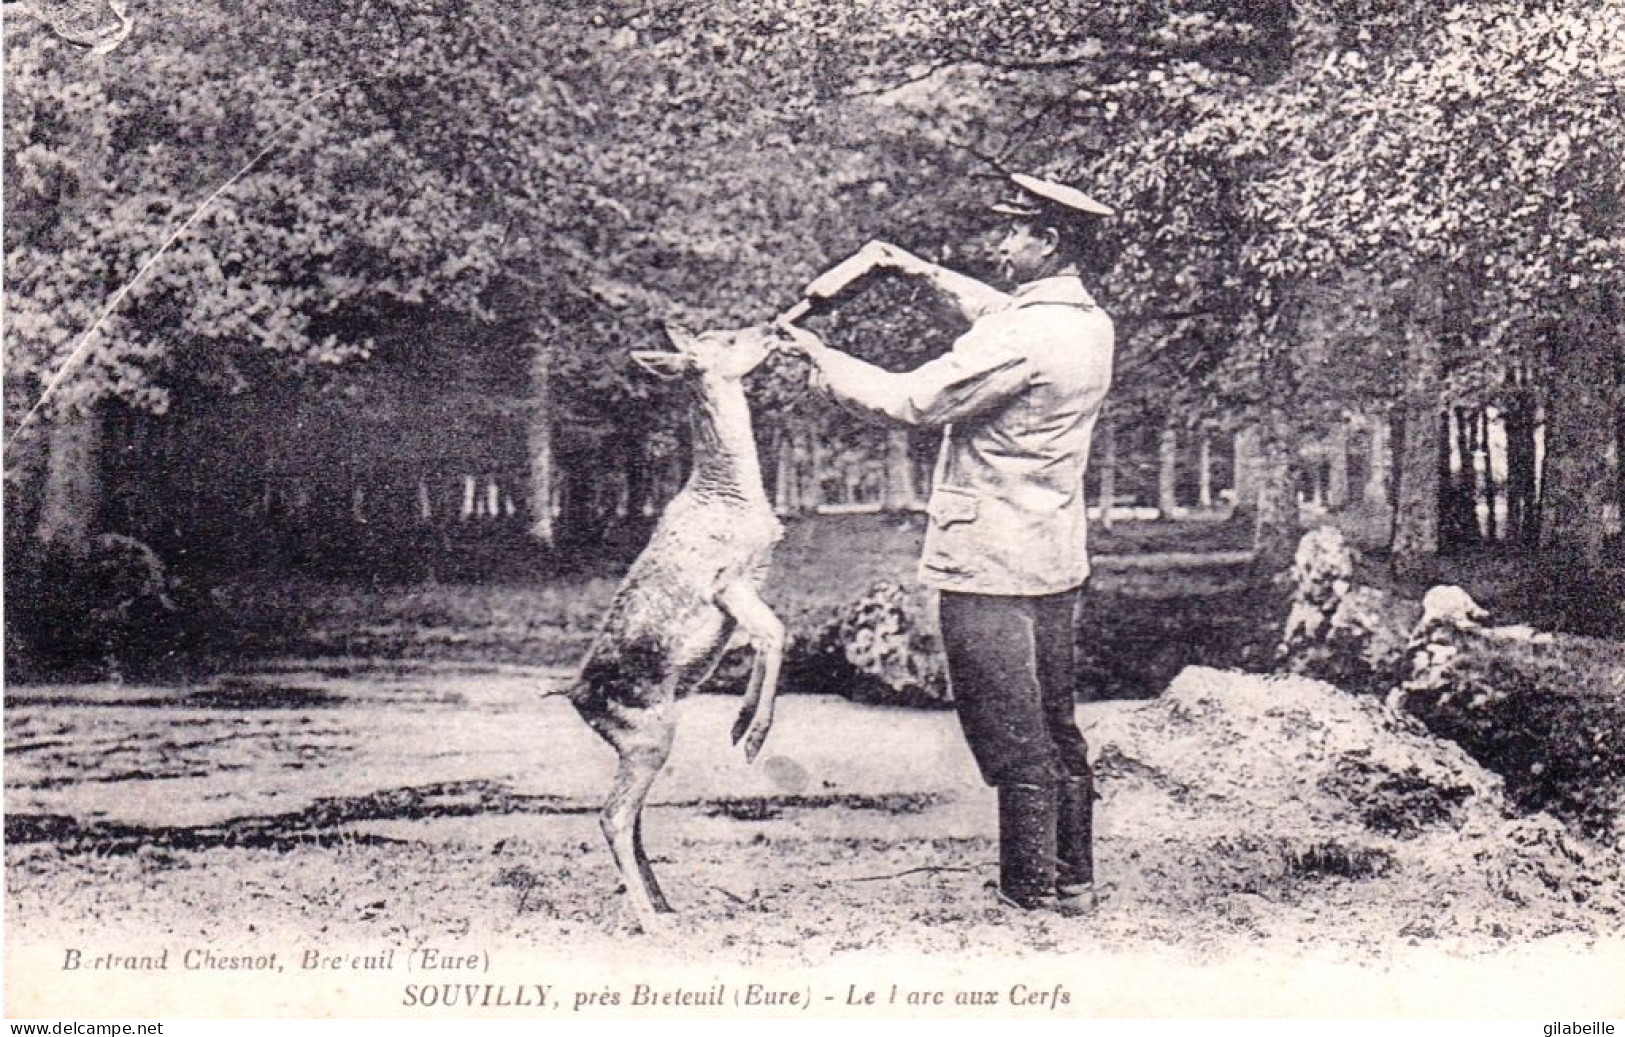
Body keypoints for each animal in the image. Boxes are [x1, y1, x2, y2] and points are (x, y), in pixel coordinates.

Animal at [575, 321, 789, 929]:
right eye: (726, 339)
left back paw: (665, 905)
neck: (732, 496)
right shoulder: (727, 580)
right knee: (613, 815)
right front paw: (750, 735)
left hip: (638, 743)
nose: (769, 328)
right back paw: (648, 918)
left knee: (633, 816)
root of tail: (577, 700)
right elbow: (775, 633)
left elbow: (768, 635)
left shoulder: (748, 584)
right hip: (648, 735)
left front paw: (741, 725)